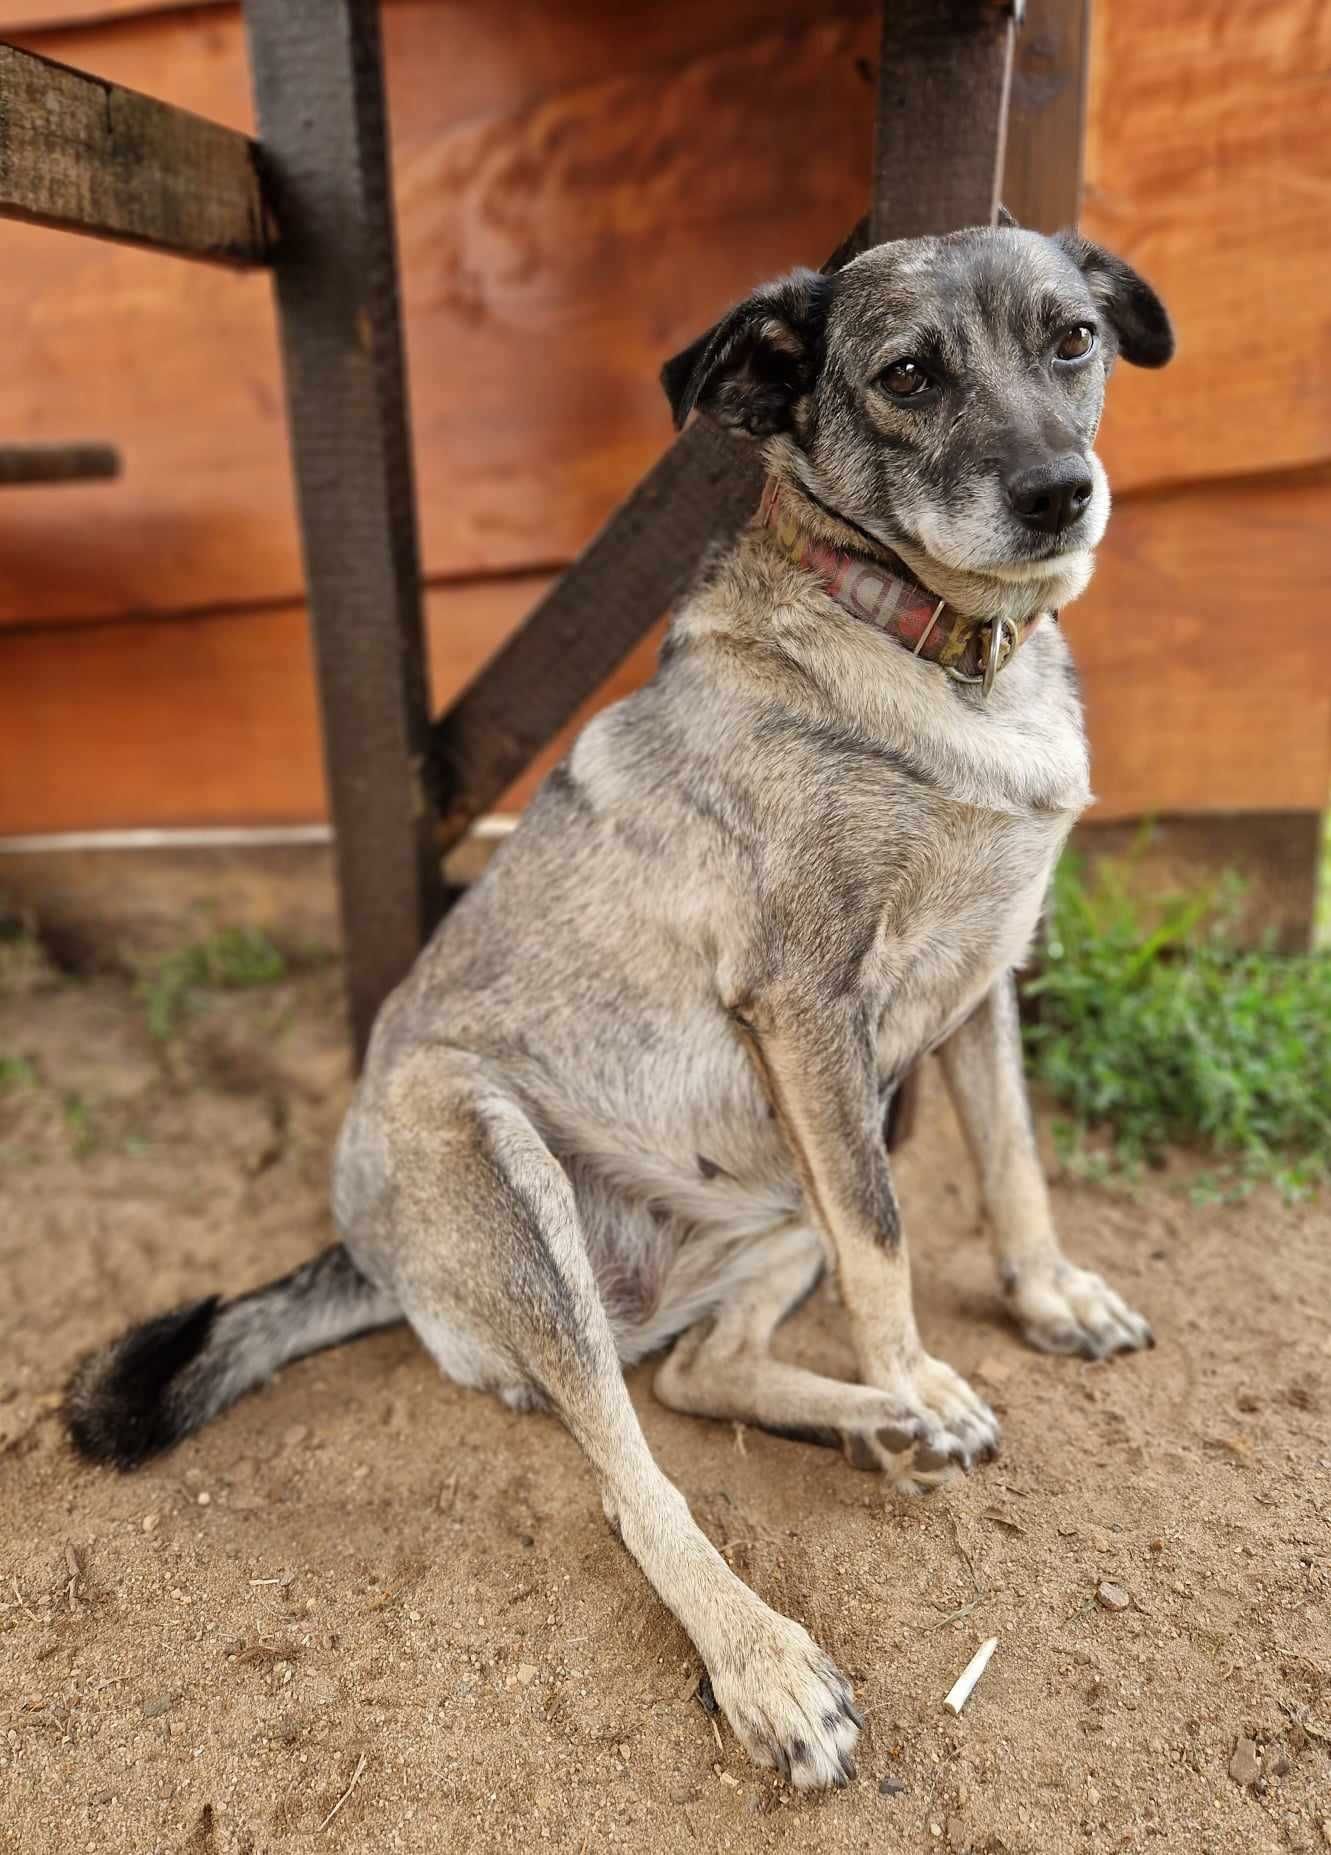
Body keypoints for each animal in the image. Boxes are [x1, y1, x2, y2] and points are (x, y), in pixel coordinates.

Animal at [70, 224, 1178, 1788]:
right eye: (906, 375)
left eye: (1071, 338)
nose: (1055, 493)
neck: (930, 650)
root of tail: (370, 1250)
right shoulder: (807, 1008)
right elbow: (892, 1250)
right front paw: (918, 1370)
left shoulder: (972, 987)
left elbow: (1011, 1165)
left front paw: (1042, 1299)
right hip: (505, 1168)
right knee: (627, 1468)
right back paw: (770, 1652)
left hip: (778, 1189)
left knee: (700, 1377)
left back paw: (879, 1430)